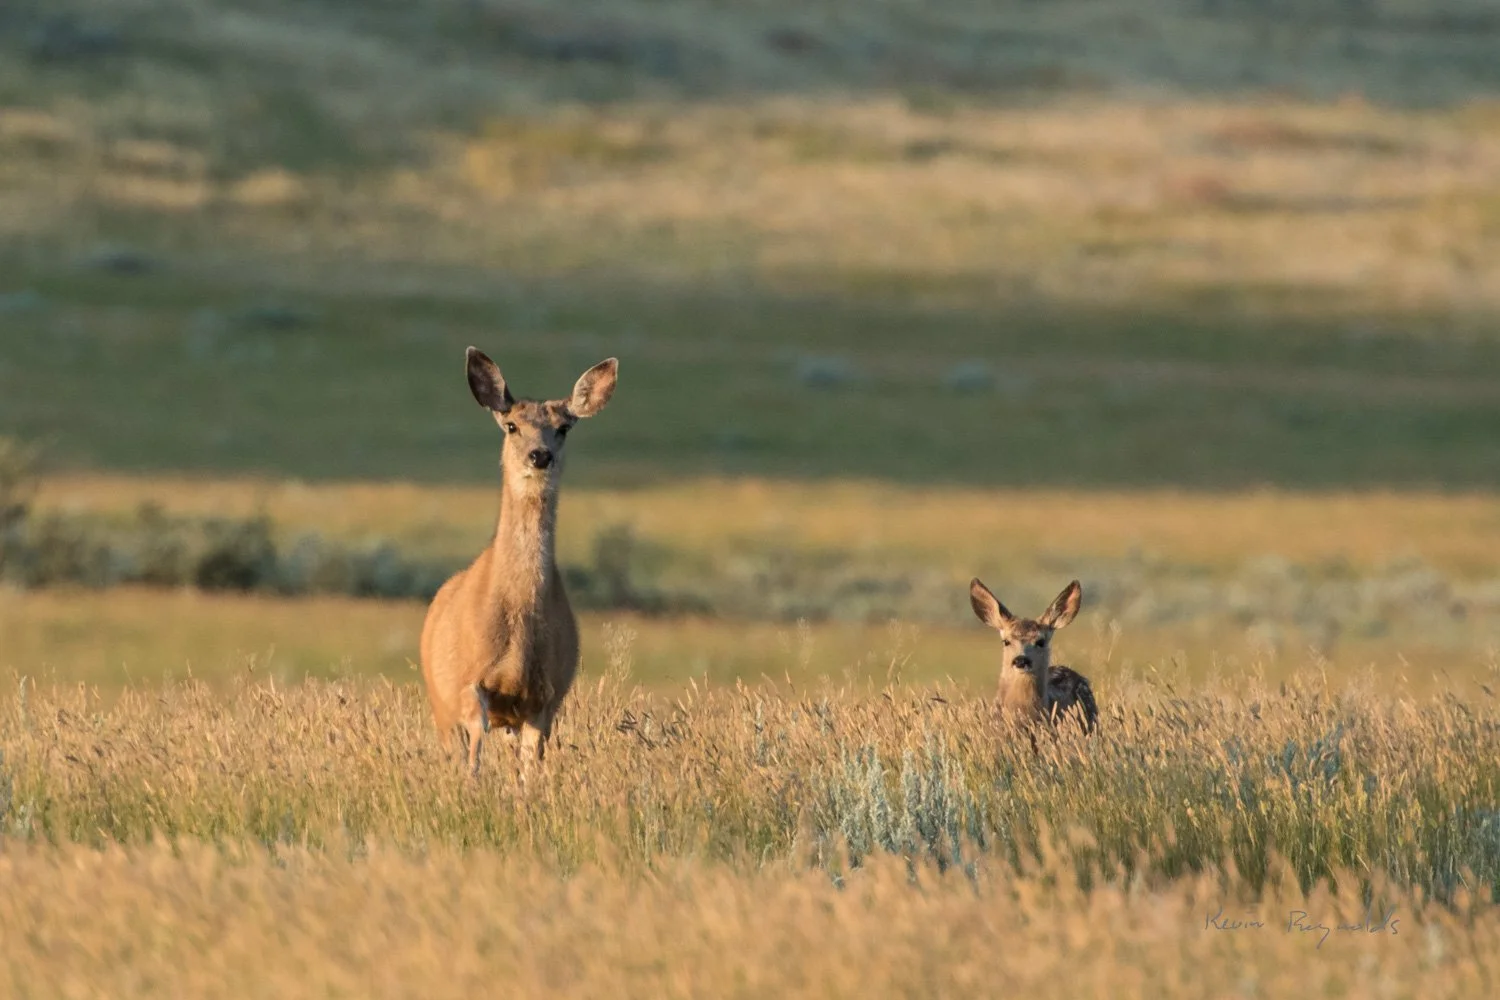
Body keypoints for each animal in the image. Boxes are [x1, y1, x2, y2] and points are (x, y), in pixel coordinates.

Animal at [420, 347, 618, 777]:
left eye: (564, 427)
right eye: (511, 426)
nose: (539, 455)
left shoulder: (545, 698)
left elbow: (529, 773)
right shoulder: (469, 684)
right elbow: (474, 760)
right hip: (440, 703)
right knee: (454, 750)